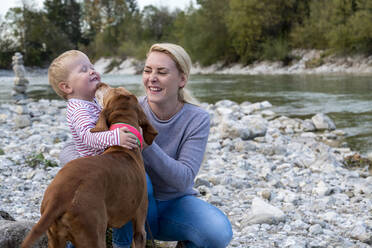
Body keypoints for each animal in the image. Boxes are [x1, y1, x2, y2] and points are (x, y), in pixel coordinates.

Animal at [20, 84, 157, 248]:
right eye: (114, 89)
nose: (100, 84)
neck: (122, 148)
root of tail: (59, 197)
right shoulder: (140, 226)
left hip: (55, 238)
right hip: (94, 235)